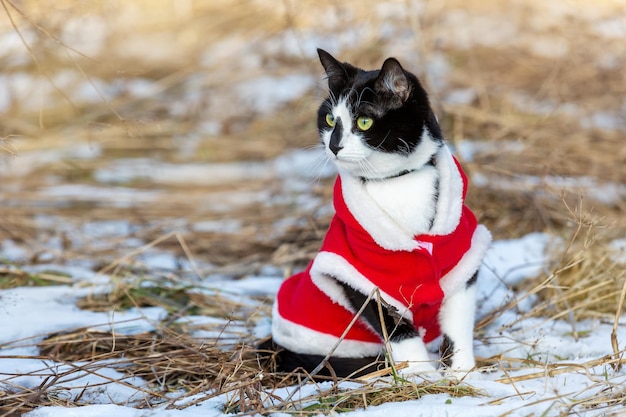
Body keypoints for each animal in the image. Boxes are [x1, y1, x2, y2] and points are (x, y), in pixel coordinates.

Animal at [260, 48, 490, 376]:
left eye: (365, 122)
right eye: (329, 118)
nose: (334, 145)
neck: (397, 183)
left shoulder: (462, 261)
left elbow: (458, 323)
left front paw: (461, 372)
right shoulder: (360, 277)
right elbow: (397, 330)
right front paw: (420, 375)